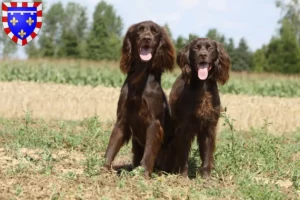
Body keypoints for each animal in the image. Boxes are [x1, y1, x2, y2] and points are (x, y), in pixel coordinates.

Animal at [156, 37, 231, 178]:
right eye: (196, 48)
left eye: (210, 48)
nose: (203, 55)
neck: (203, 87)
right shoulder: (185, 128)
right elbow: (183, 154)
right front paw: (183, 176)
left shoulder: (208, 127)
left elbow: (207, 155)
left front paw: (206, 177)